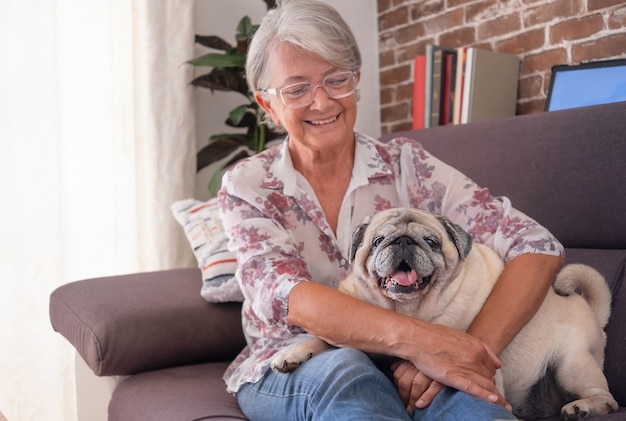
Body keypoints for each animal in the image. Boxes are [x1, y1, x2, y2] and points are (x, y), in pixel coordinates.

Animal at [270, 208, 616, 420]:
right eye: (378, 240)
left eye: (432, 242)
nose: (404, 240)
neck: (407, 312)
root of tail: (591, 310)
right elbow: (321, 339)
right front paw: (293, 353)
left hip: (572, 366)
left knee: (607, 398)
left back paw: (583, 407)